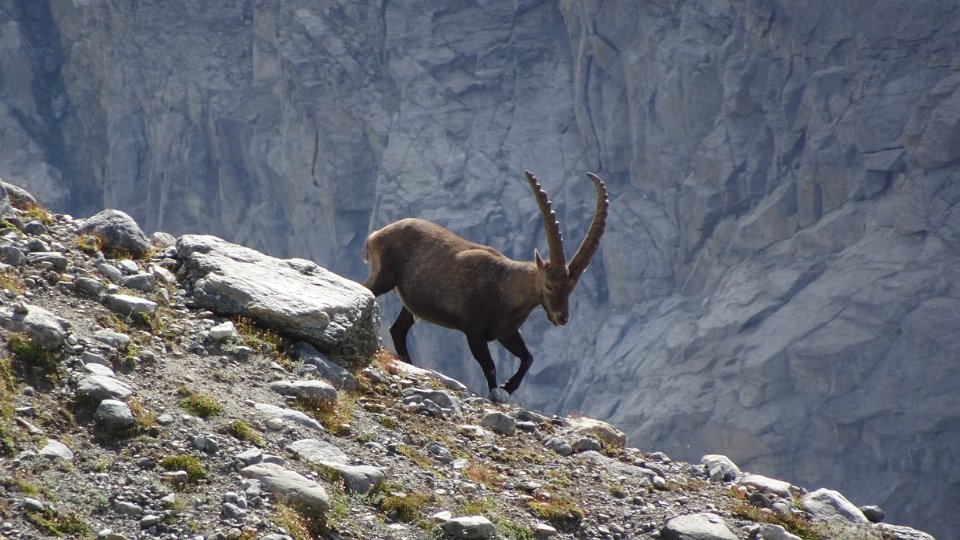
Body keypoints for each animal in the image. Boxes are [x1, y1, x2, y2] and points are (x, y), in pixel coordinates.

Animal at [362, 171, 608, 395]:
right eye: (549, 285)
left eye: (571, 288)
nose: (561, 318)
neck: (506, 286)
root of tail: (376, 234)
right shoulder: (473, 332)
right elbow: (489, 366)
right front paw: (496, 392)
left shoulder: (506, 333)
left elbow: (528, 358)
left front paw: (509, 387)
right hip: (384, 277)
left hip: (411, 303)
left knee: (398, 330)